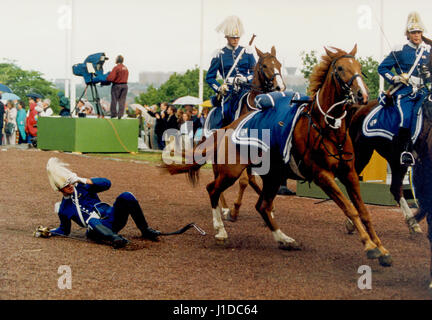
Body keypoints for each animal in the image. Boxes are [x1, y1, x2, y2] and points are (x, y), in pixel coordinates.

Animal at [164, 45, 394, 268]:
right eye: (339, 68)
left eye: (359, 66)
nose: (362, 94)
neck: (327, 126)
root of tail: (230, 126)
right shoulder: (322, 175)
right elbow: (350, 209)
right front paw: (369, 246)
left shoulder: (349, 173)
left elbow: (364, 211)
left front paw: (382, 249)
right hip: (231, 171)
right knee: (213, 189)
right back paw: (222, 228)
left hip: (272, 176)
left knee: (262, 206)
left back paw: (284, 239)